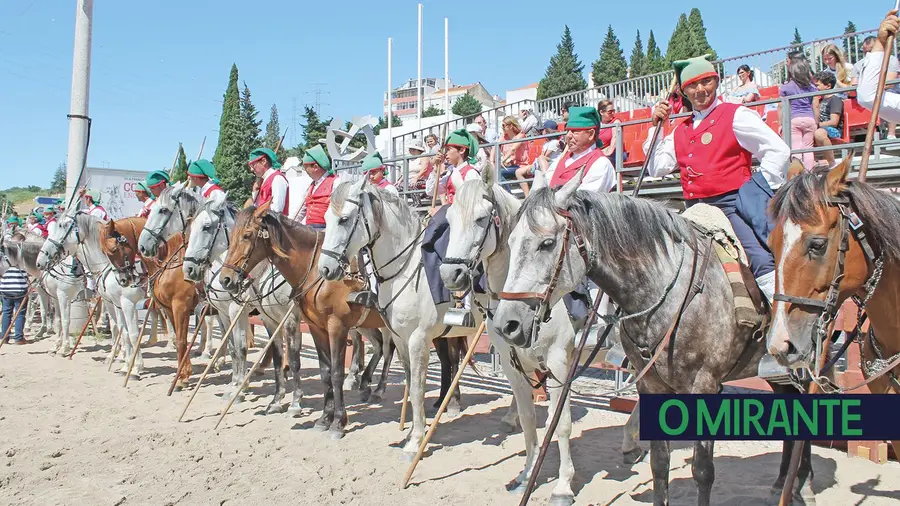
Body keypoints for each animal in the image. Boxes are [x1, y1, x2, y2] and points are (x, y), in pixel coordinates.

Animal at [99, 217, 203, 392]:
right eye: (103, 252)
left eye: (113, 249)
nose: (123, 280)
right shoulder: (168, 309)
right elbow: (177, 339)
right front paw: (184, 375)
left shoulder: (180, 307)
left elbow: (180, 340)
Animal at [221, 201, 386, 438]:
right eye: (232, 235)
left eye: (247, 235)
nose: (225, 279)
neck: (317, 272)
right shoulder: (316, 327)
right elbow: (325, 372)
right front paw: (324, 419)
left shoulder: (336, 326)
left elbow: (336, 372)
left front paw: (338, 422)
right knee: (381, 345)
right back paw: (366, 385)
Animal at [316, 177, 516, 458]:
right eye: (326, 217)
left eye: (344, 219)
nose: (325, 268)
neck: (405, 270)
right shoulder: (401, 339)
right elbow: (411, 384)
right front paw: (411, 431)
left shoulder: (418, 339)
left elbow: (418, 386)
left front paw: (415, 441)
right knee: (452, 361)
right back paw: (451, 402)